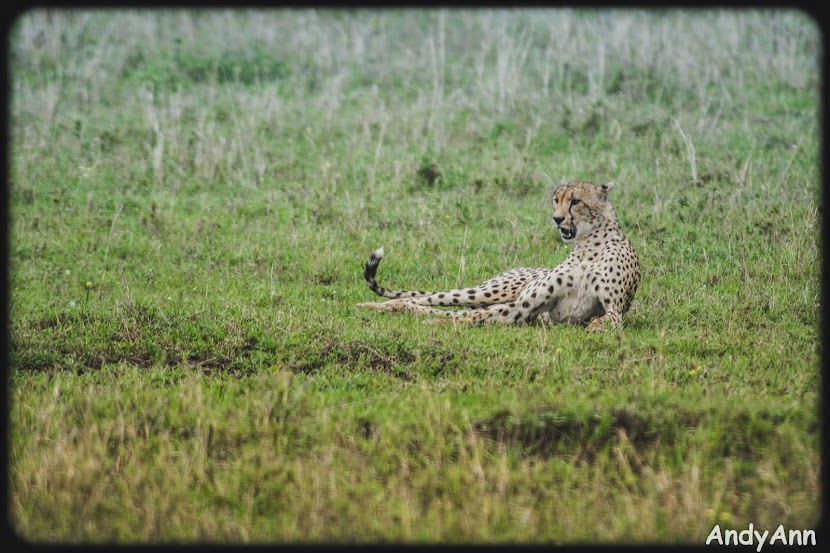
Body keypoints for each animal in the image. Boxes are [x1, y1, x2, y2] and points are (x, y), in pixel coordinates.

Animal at [358, 180, 644, 332]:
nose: (557, 219)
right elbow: (476, 318)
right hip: (487, 292)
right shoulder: (525, 305)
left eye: (576, 201)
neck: (589, 246)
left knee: (437, 308)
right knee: (424, 299)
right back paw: (370, 306)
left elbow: (608, 318)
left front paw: (596, 325)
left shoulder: (614, 309)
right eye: (556, 200)